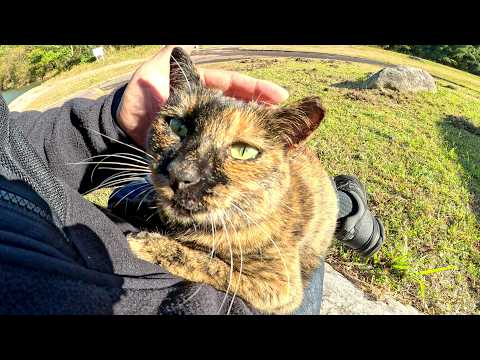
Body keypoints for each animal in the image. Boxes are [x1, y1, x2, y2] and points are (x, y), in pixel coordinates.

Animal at [127, 47, 338, 312]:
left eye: (243, 151)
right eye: (177, 126)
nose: (181, 174)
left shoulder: (280, 287)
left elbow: (208, 263)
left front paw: (147, 243)